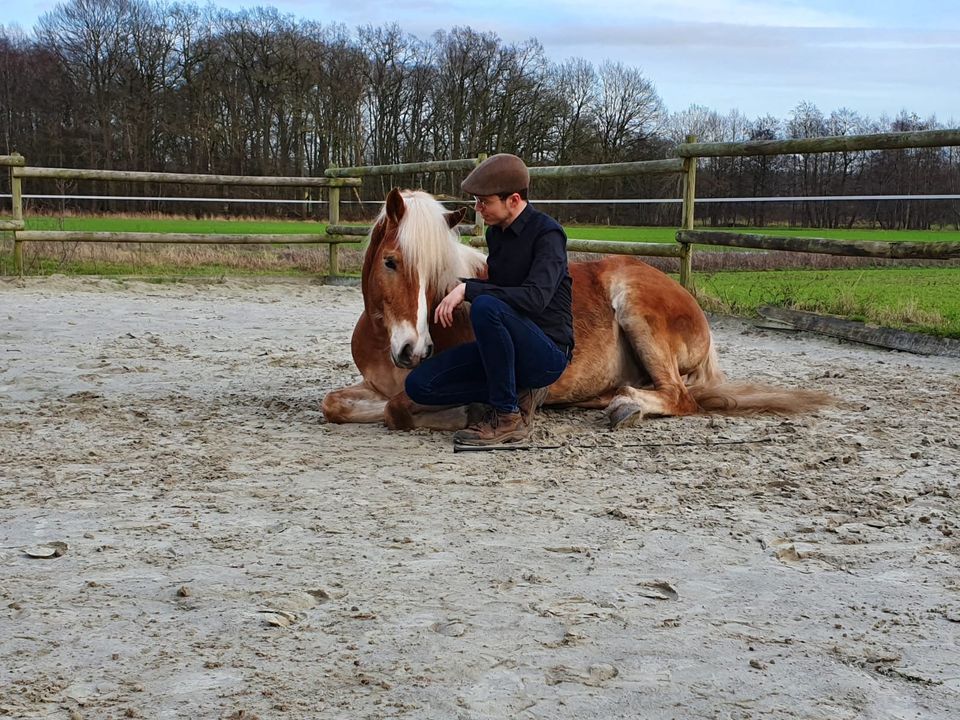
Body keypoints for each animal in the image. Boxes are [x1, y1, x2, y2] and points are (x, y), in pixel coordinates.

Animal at [322, 188, 832, 430]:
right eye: (390, 262)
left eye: (434, 272)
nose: (414, 350)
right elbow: (336, 405)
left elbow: (398, 410)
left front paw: (465, 415)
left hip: (637, 310)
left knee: (680, 397)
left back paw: (627, 406)